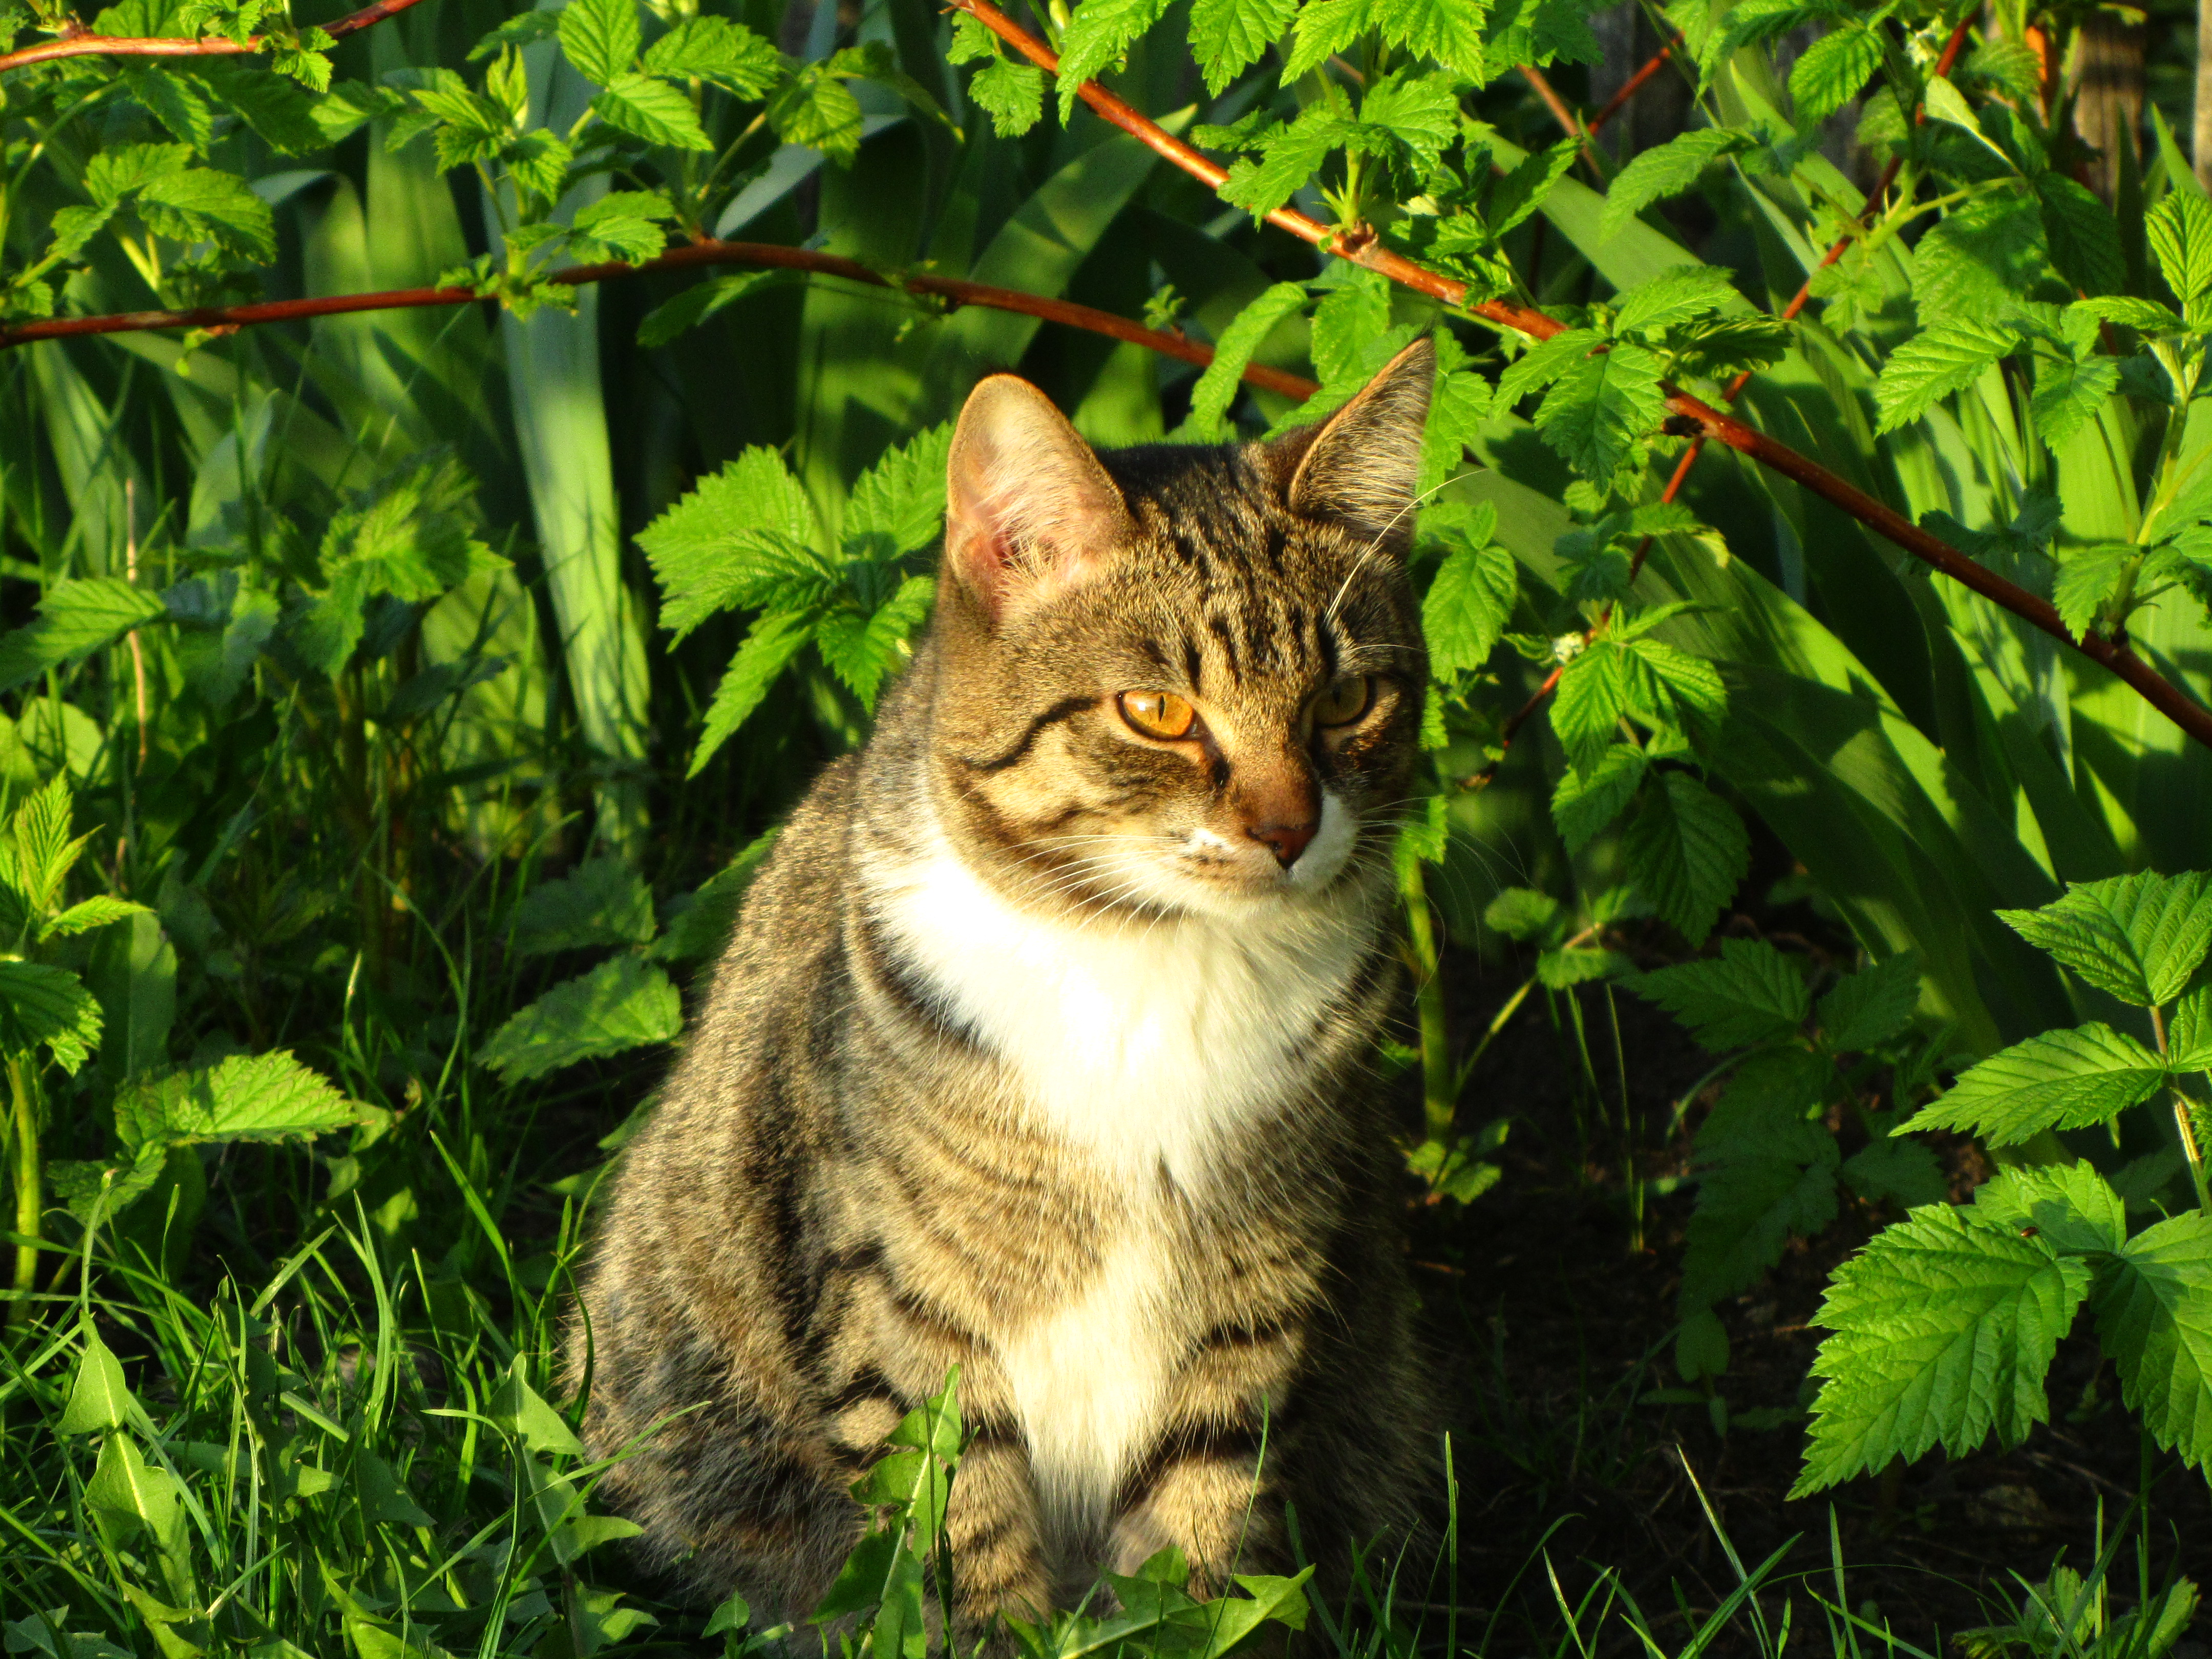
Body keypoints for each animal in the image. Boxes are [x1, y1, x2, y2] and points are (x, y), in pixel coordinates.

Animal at [562, 334, 1442, 1636]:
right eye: (1156, 711)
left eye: (1344, 700)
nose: (1288, 829)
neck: (1153, 967)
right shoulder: (904, 1305)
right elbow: (956, 1539)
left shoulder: (1254, 1291)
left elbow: (1194, 1544)